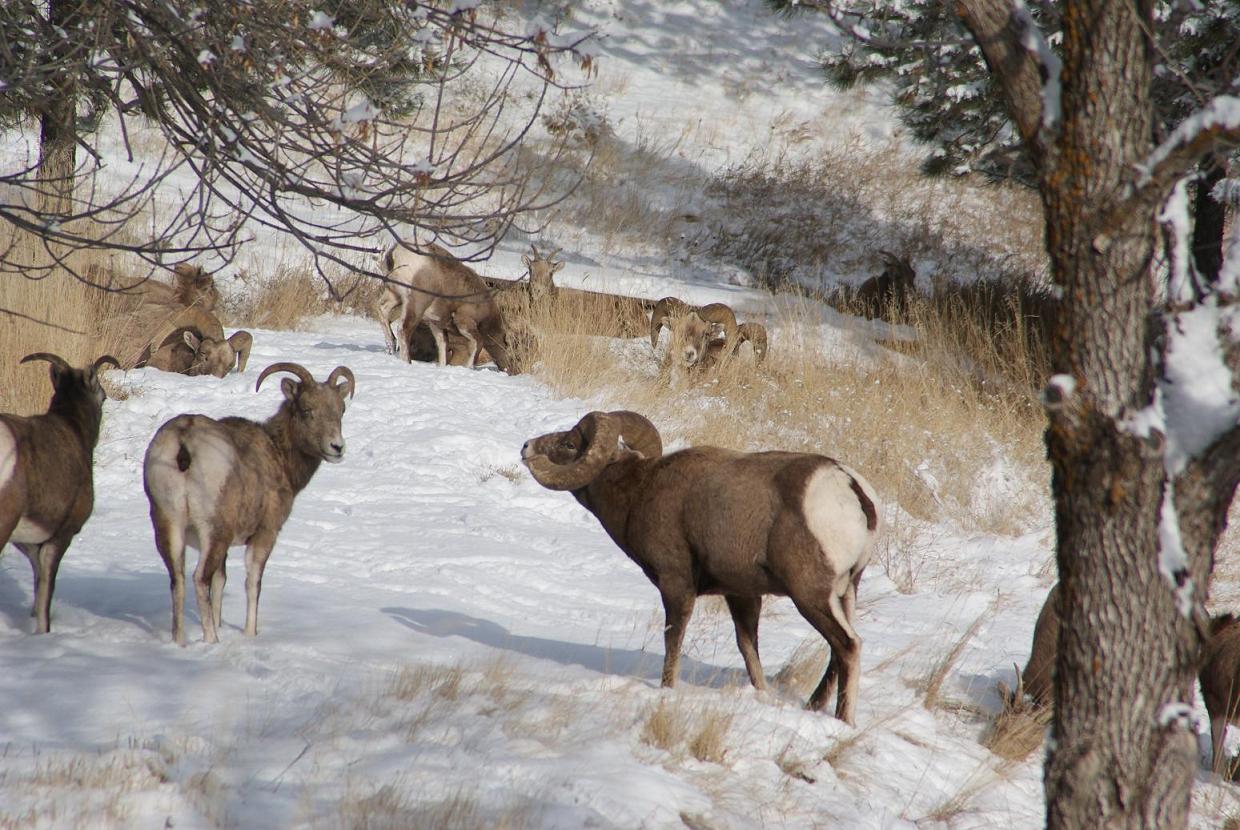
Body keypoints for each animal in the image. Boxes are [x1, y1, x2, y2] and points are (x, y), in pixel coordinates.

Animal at [374, 239, 515, 369]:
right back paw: (407, 361)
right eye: (507, 345)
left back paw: (391, 346)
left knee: (382, 309)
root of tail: (396, 252)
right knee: (404, 329)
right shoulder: (464, 322)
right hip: (415, 303)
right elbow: (477, 342)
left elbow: (443, 346)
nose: (507, 369)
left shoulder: (436, 324)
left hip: (394, 295)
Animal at [523, 411, 882, 719]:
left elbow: (673, 639)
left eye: (569, 444)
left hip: (810, 595)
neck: (639, 491)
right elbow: (748, 649)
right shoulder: (742, 595)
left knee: (848, 645)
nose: (526, 448)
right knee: (838, 651)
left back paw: (844, 720)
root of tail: (852, 489)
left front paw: (666, 691)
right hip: (846, 592)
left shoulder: (675, 582)